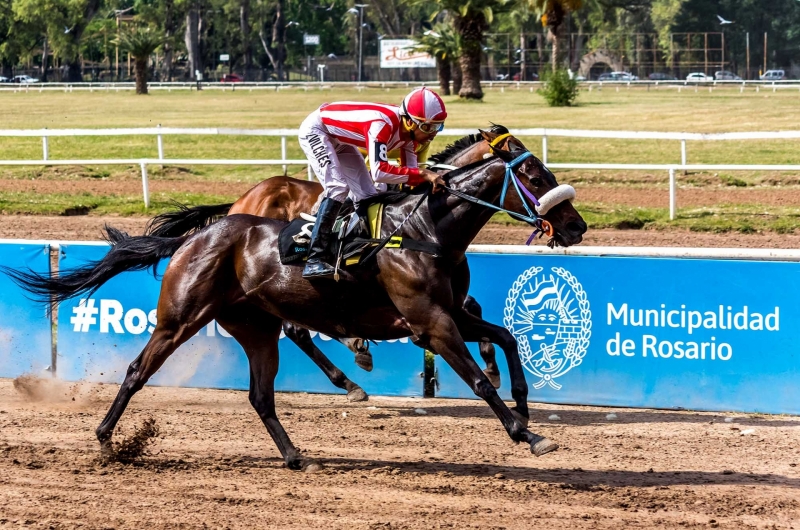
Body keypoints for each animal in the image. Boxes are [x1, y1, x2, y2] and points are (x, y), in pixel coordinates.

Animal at [6, 143, 588, 466]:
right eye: (534, 177)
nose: (576, 226)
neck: (424, 230)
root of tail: (203, 233)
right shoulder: (432, 324)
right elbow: (479, 381)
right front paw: (527, 434)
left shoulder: (450, 314)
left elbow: (506, 338)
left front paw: (524, 404)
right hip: (180, 318)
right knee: (137, 371)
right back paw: (106, 440)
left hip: (255, 327)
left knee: (262, 393)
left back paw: (294, 454)